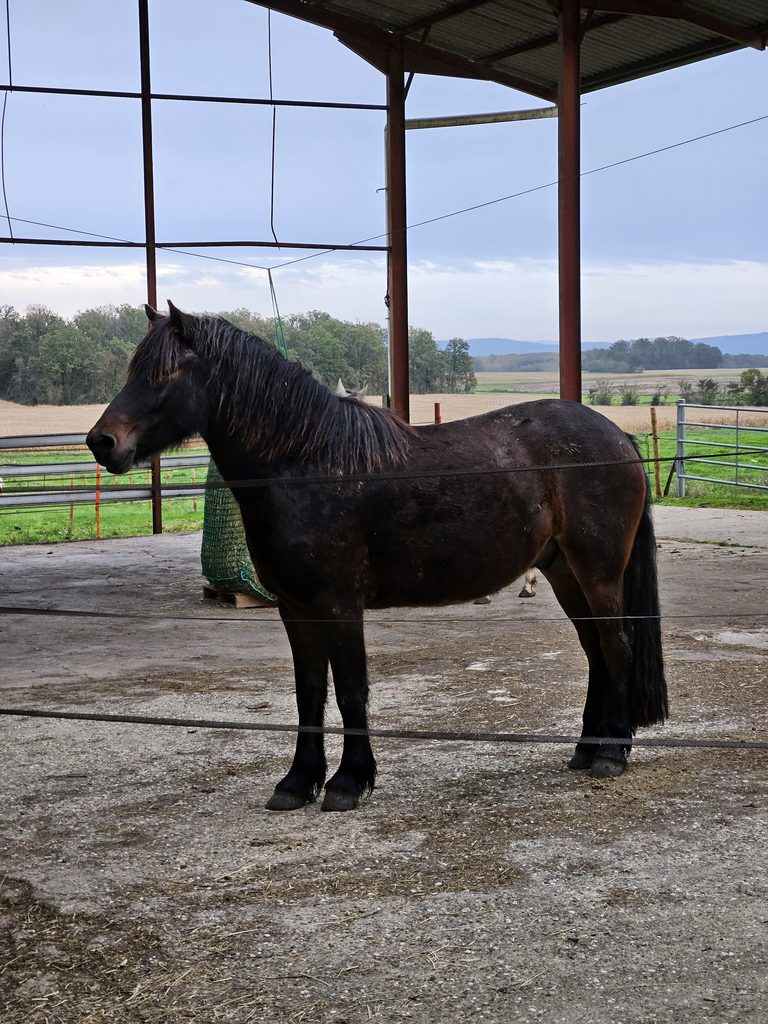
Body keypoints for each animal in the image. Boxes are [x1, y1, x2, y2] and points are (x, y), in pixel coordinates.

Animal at [87, 303, 668, 812]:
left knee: (615, 646)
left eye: (167, 372)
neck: (309, 464)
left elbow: (350, 691)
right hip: (562, 570)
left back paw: (613, 753)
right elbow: (309, 694)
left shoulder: (339, 605)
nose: (101, 442)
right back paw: (586, 749)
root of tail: (617, 437)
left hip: (597, 571)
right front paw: (297, 783)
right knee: (594, 651)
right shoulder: (295, 609)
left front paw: (348, 783)